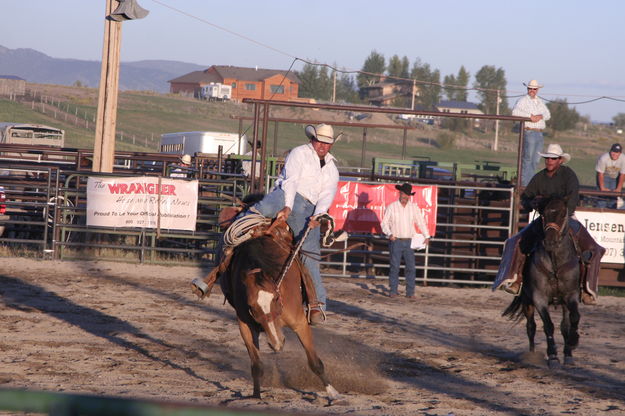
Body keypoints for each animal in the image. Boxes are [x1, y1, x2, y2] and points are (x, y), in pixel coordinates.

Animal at [221, 219, 342, 402]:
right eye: (251, 306)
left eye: (276, 298)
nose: (276, 343)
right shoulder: (245, 327)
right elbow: (256, 365)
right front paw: (256, 396)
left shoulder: (300, 323)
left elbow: (315, 362)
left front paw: (333, 393)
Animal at [502, 197, 580, 368]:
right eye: (543, 214)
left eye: (563, 214)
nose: (550, 242)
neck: (555, 263)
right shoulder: (539, 298)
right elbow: (548, 326)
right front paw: (553, 356)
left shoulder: (571, 295)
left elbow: (573, 319)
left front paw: (572, 344)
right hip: (527, 301)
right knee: (531, 327)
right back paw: (531, 355)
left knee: (564, 326)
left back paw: (568, 354)